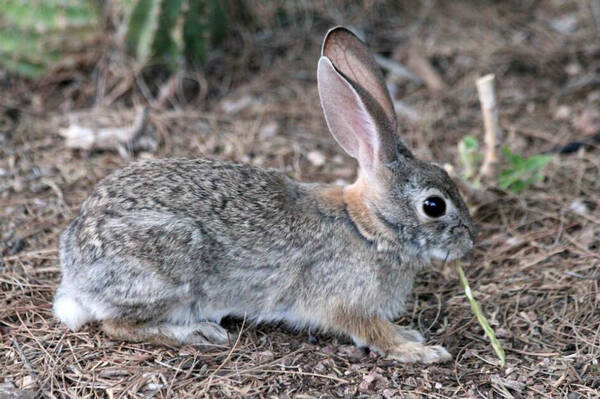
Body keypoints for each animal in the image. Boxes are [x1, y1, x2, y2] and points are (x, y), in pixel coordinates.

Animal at [52, 26, 474, 364]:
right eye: (434, 206)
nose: (469, 242)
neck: (368, 227)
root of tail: (74, 271)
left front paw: (411, 335)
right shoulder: (345, 304)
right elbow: (374, 332)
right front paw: (422, 351)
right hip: (165, 267)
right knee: (117, 325)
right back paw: (196, 332)